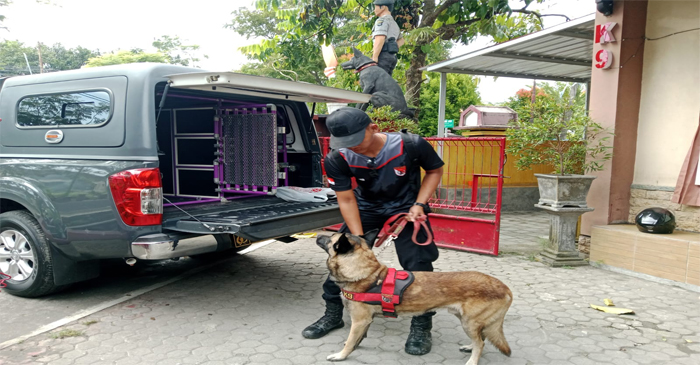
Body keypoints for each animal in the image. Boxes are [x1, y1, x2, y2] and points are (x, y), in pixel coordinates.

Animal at [314, 230, 512, 364]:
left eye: (330, 238)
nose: (317, 235)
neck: (367, 274)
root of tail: (506, 289)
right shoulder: (364, 322)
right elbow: (357, 339)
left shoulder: (359, 321)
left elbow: (349, 342)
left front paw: (341, 355)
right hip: (467, 321)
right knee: (481, 338)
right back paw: (470, 347)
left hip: (469, 322)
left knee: (481, 343)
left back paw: (472, 360)